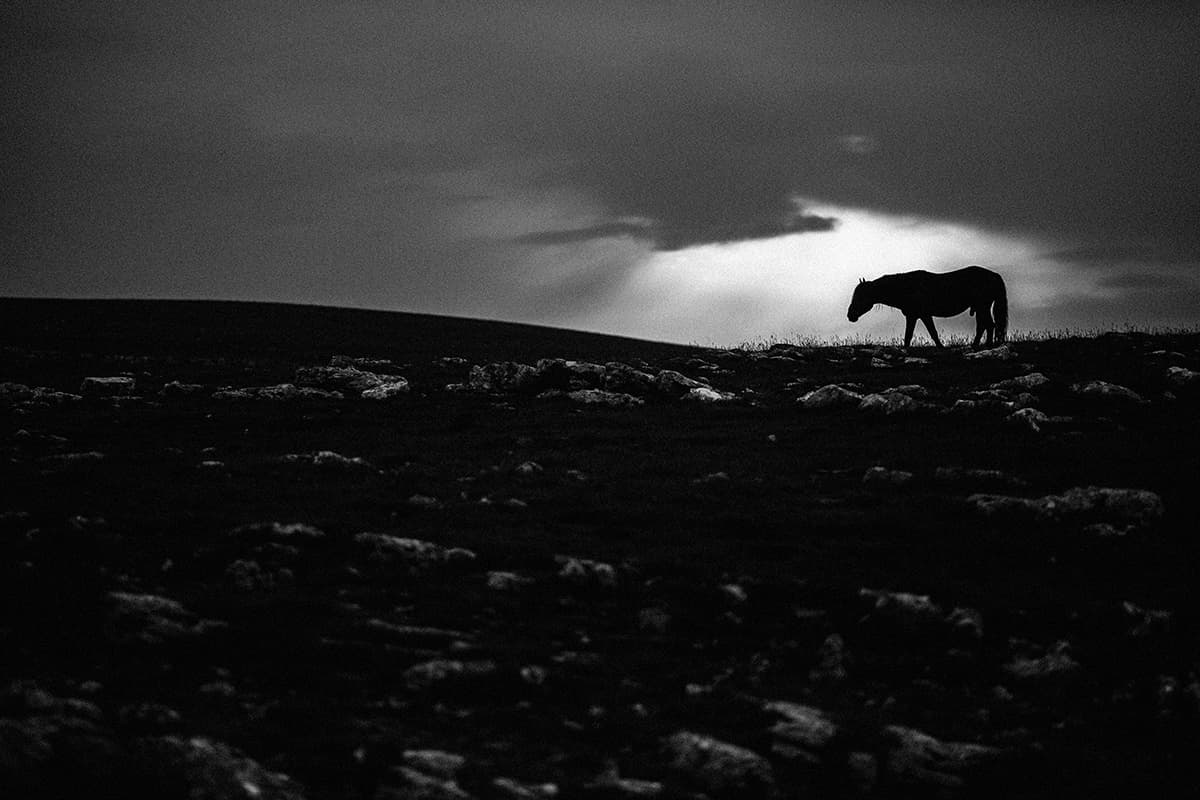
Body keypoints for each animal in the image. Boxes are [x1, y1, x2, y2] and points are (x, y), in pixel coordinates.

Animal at [846, 265, 1008, 348]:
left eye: (860, 296)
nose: (850, 315)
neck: (908, 288)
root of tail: (995, 275)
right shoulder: (915, 316)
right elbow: (912, 336)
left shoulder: (921, 315)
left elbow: (927, 333)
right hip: (981, 308)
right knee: (985, 325)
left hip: (982, 307)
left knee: (988, 325)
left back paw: (984, 346)